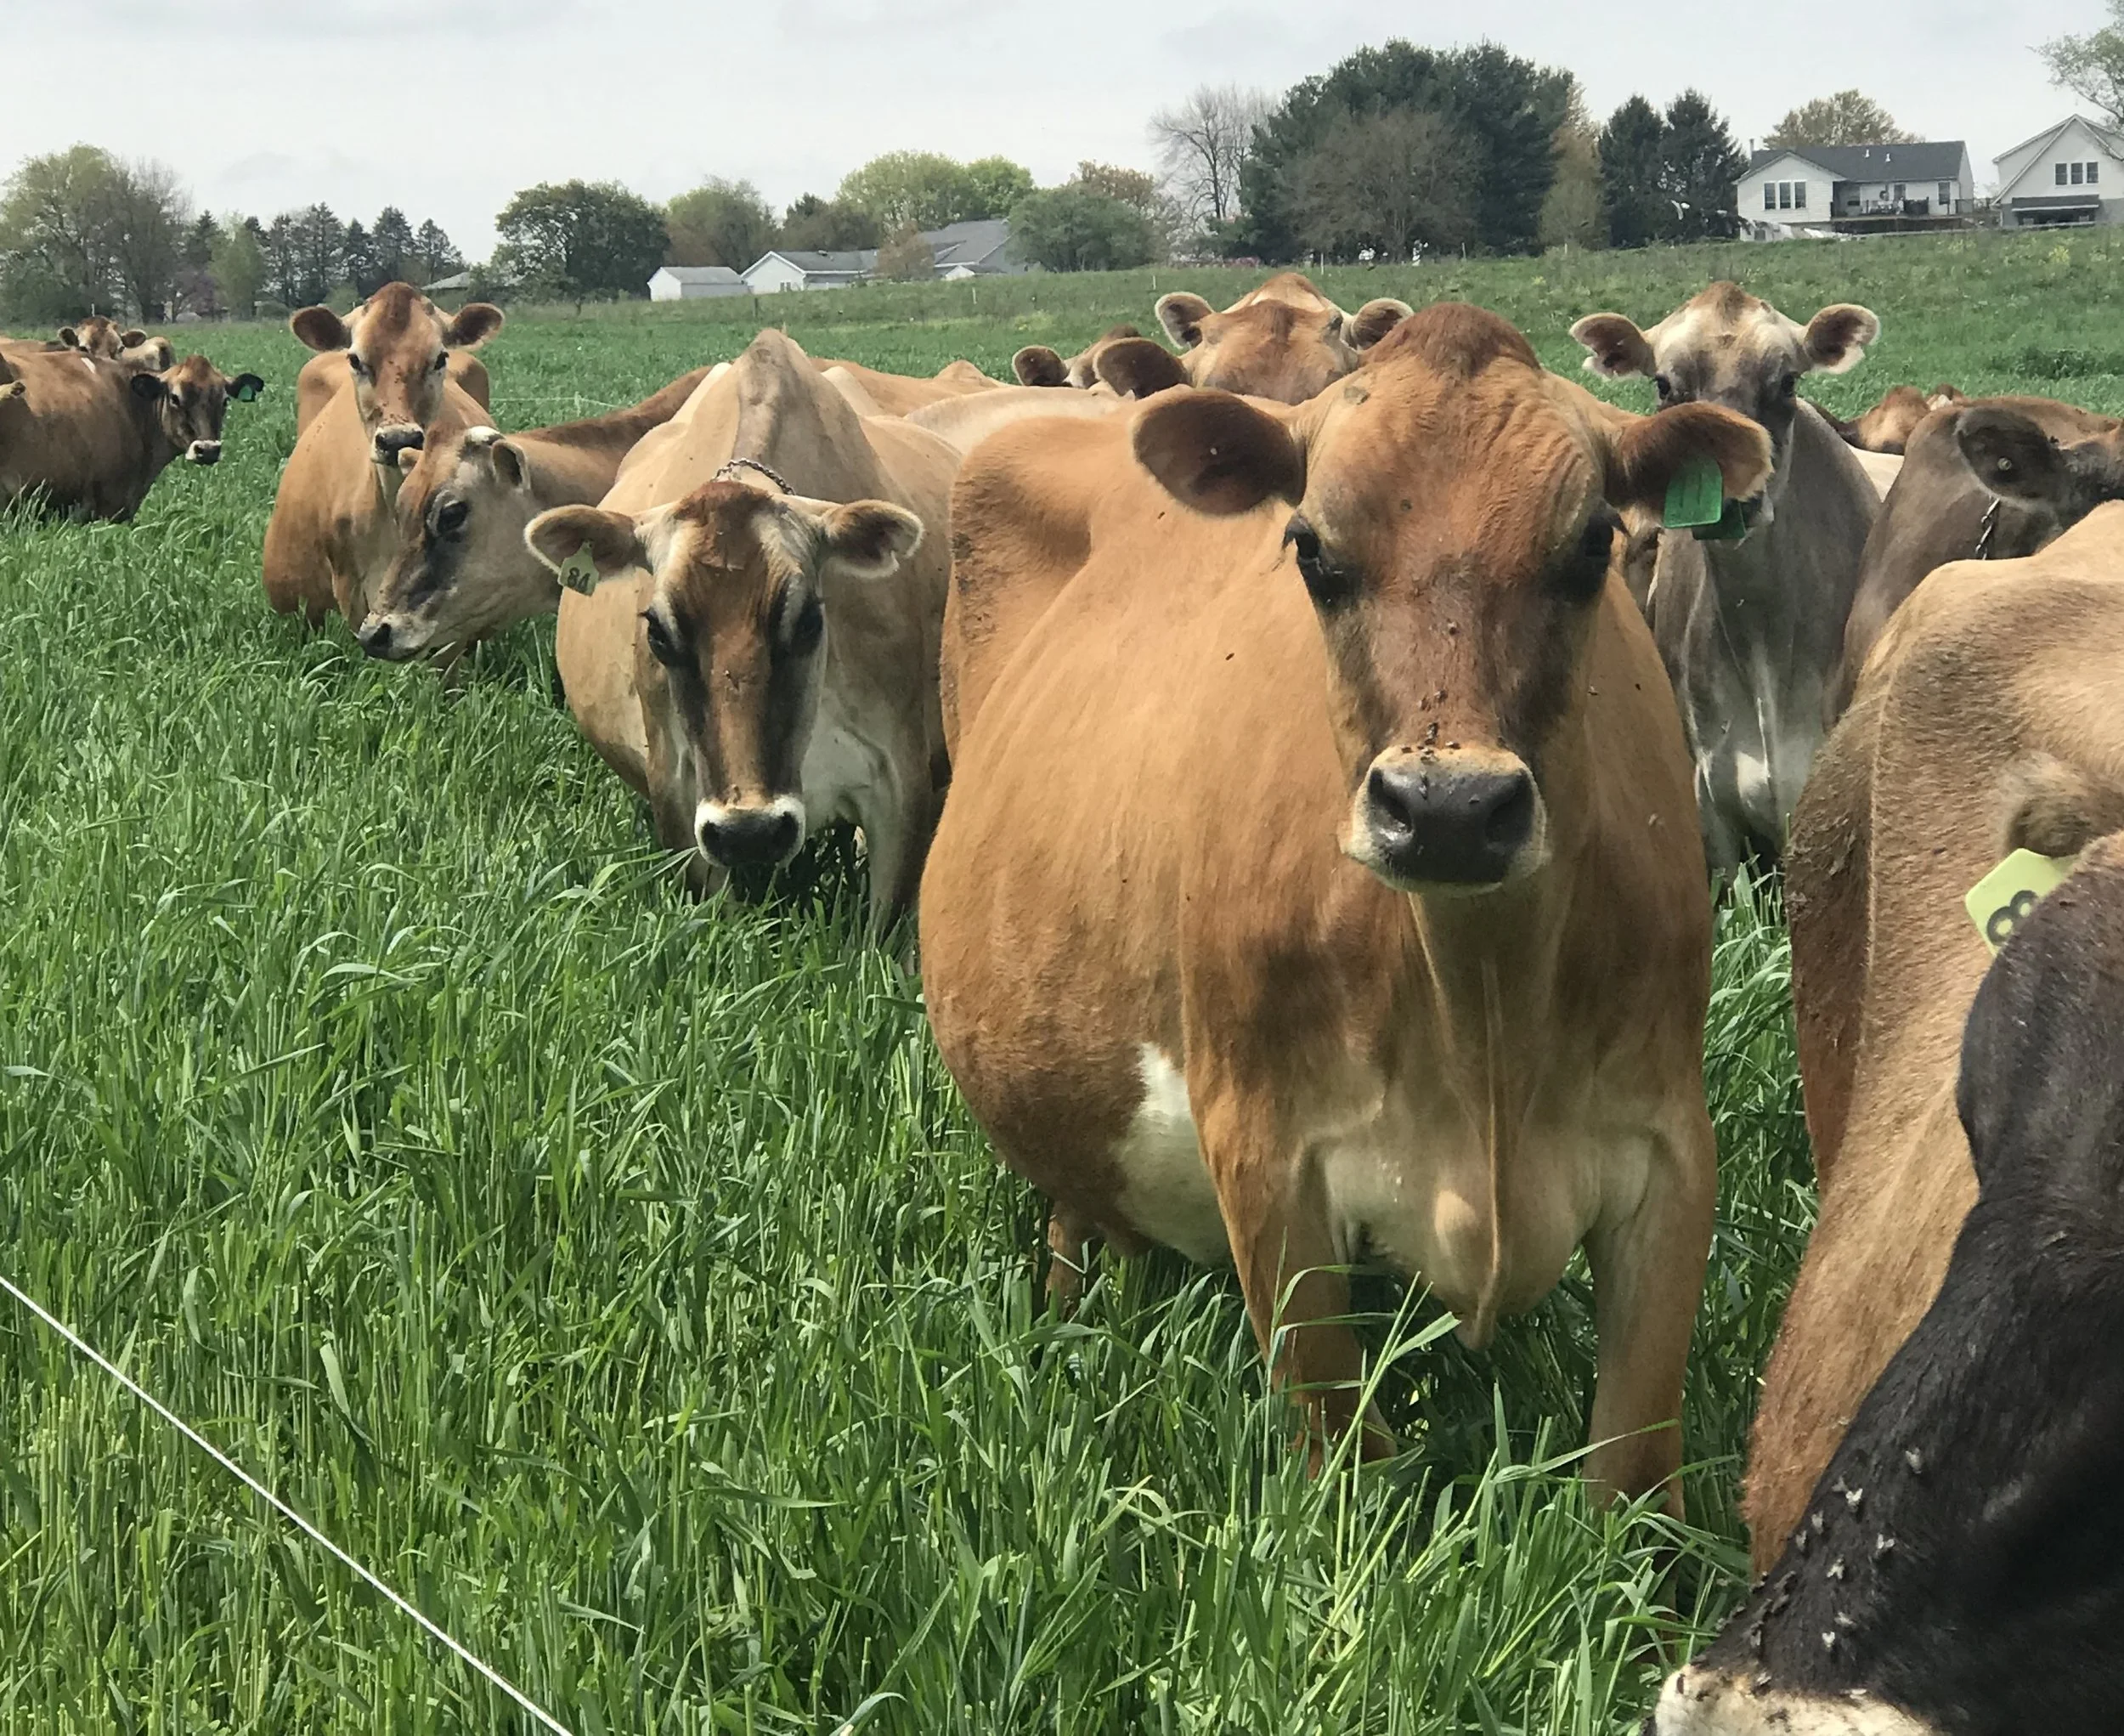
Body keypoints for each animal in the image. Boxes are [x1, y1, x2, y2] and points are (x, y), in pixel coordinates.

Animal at [919, 304, 1772, 1501]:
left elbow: (1633, 1472)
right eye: (1313, 551)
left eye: (1591, 548)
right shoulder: (1265, 1153)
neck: (1481, 1005)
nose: (1449, 809)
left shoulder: (1671, 1146)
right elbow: (1335, 1456)